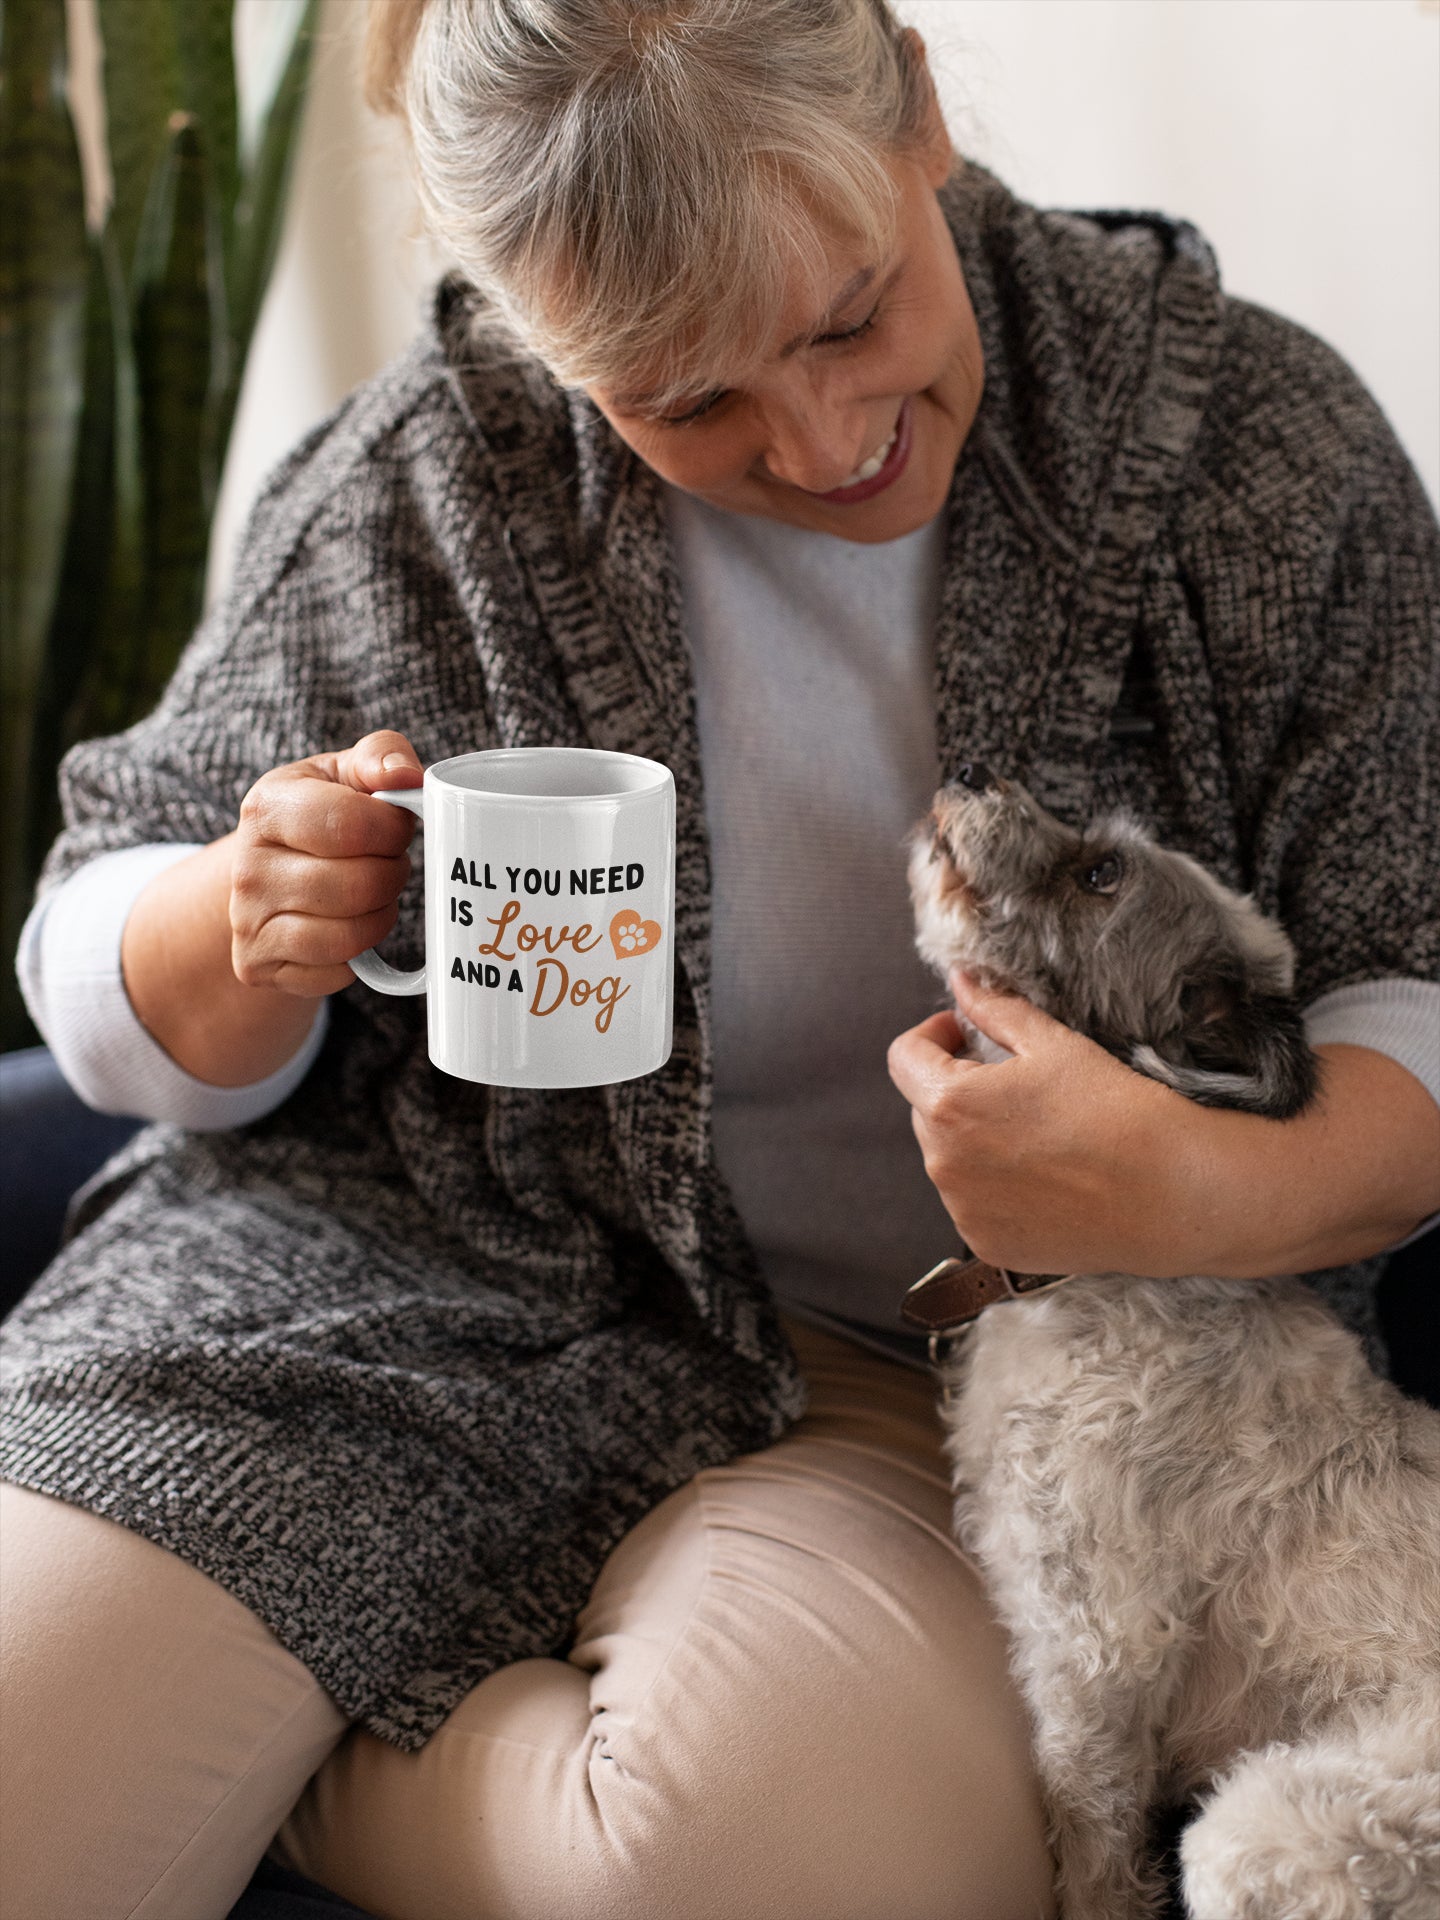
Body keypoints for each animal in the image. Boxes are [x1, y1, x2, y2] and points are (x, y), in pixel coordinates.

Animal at [913, 764, 1440, 1920]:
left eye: (1102, 873)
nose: (972, 774)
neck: (1099, 1283)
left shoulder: (1094, 1648)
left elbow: (1095, 1846)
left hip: (1269, 1830)